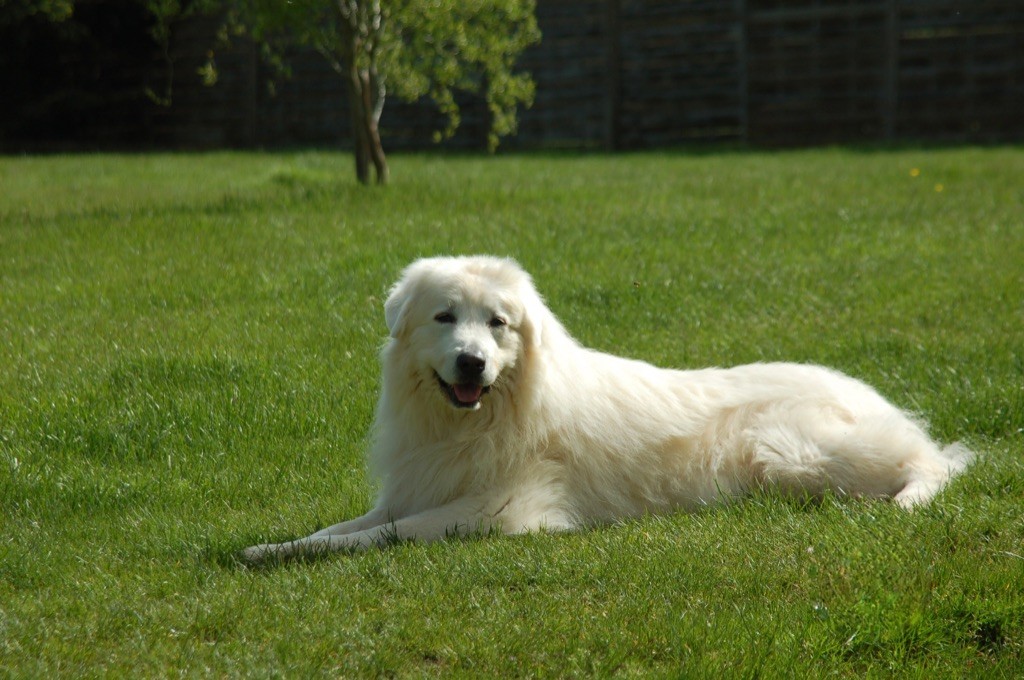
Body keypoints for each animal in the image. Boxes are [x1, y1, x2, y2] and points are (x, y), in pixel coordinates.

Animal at [241, 256, 974, 561]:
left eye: (498, 324)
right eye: (445, 317)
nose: (472, 363)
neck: (483, 416)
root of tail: (865, 390)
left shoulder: (499, 512)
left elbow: (379, 537)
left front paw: (282, 555)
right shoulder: (418, 488)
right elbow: (342, 528)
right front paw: (271, 547)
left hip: (788, 452)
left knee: (933, 462)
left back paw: (907, 500)